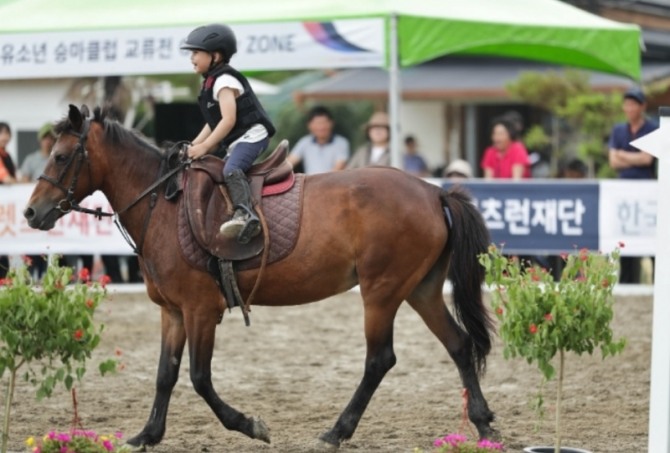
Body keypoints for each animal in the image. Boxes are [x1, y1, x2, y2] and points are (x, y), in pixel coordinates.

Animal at [23, 106, 496, 448]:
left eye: (61, 156)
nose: (30, 212)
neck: (164, 203)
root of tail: (433, 191)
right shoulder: (172, 312)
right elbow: (165, 375)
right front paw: (148, 435)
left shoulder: (199, 310)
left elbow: (199, 378)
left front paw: (249, 425)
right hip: (420, 289)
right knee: (458, 345)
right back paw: (484, 423)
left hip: (381, 292)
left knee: (380, 359)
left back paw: (337, 431)